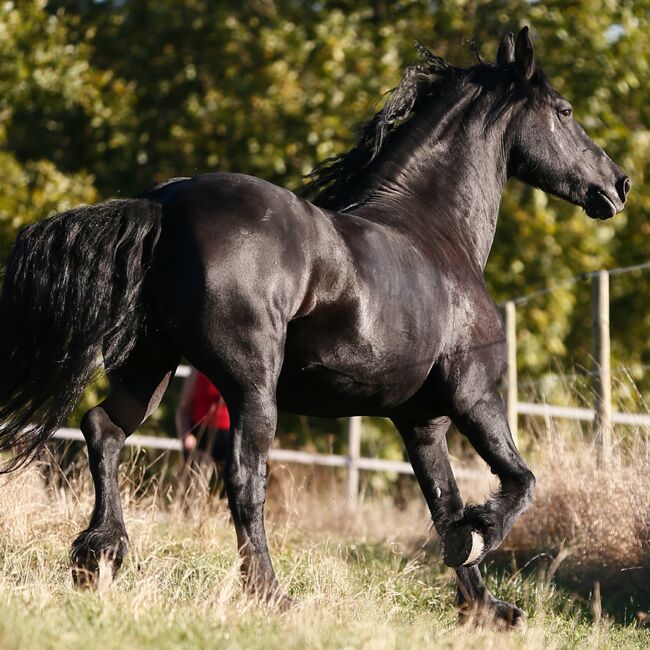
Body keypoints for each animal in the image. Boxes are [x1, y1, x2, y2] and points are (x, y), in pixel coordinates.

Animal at [0, 27, 628, 624]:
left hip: (150, 364)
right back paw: (269, 594)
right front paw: (477, 538)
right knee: (243, 476)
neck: (435, 233)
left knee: (103, 429)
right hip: (249, 384)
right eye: (565, 110)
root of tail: (163, 205)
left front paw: (485, 608)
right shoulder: (474, 395)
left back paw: (97, 557)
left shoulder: (421, 420)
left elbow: (443, 502)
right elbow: (519, 481)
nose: (617, 184)